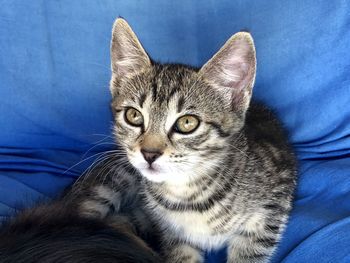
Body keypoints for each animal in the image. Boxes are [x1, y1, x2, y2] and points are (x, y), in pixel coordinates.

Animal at [104, 19, 298, 263]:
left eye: (187, 123)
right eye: (133, 116)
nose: (149, 153)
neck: (186, 196)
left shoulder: (271, 207)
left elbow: (249, 252)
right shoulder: (170, 233)